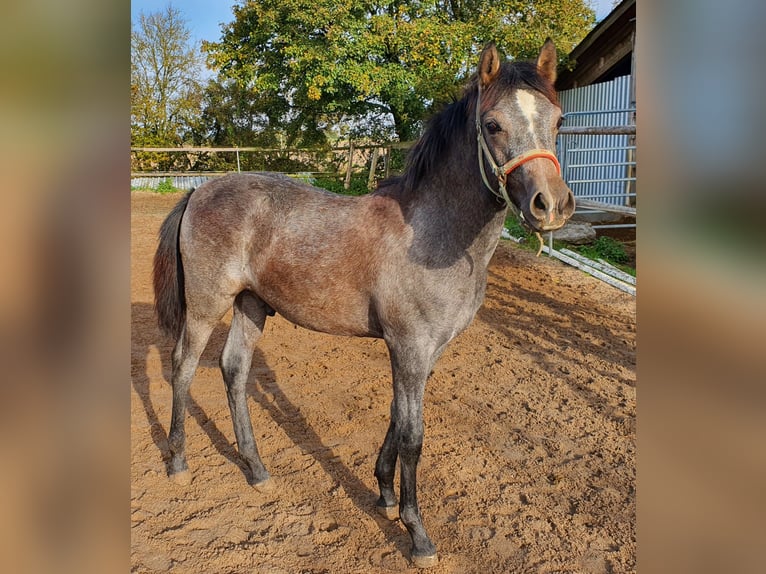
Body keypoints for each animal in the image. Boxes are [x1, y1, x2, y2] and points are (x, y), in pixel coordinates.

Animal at [154, 41, 576, 572]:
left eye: (558, 120)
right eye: (493, 124)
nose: (551, 206)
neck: (432, 233)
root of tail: (198, 189)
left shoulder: (425, 352)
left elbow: (396, 418)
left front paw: (385, 495)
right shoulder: (410, 347)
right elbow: (414, 435)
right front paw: (417, 533)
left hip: (252, 305)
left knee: (234, 370)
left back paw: (255, 469)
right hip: (207, 304)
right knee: (183, 367)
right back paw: (178, 462)